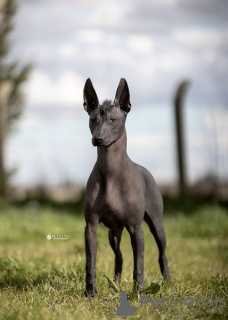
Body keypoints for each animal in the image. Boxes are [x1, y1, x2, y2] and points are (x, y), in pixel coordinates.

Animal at [83, 78, 170, 298]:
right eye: (93, 119)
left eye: (113, 119)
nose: (98, 139)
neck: (111, 171)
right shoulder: (91, 227)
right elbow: (90, 263)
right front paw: (90, 292)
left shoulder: (136, 228)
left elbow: (139, 264)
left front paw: (138, 291)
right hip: (113, 233)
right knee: (119, 256)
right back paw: (116, 282)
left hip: (157, 225)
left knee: (162, 254)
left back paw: (168, 282)